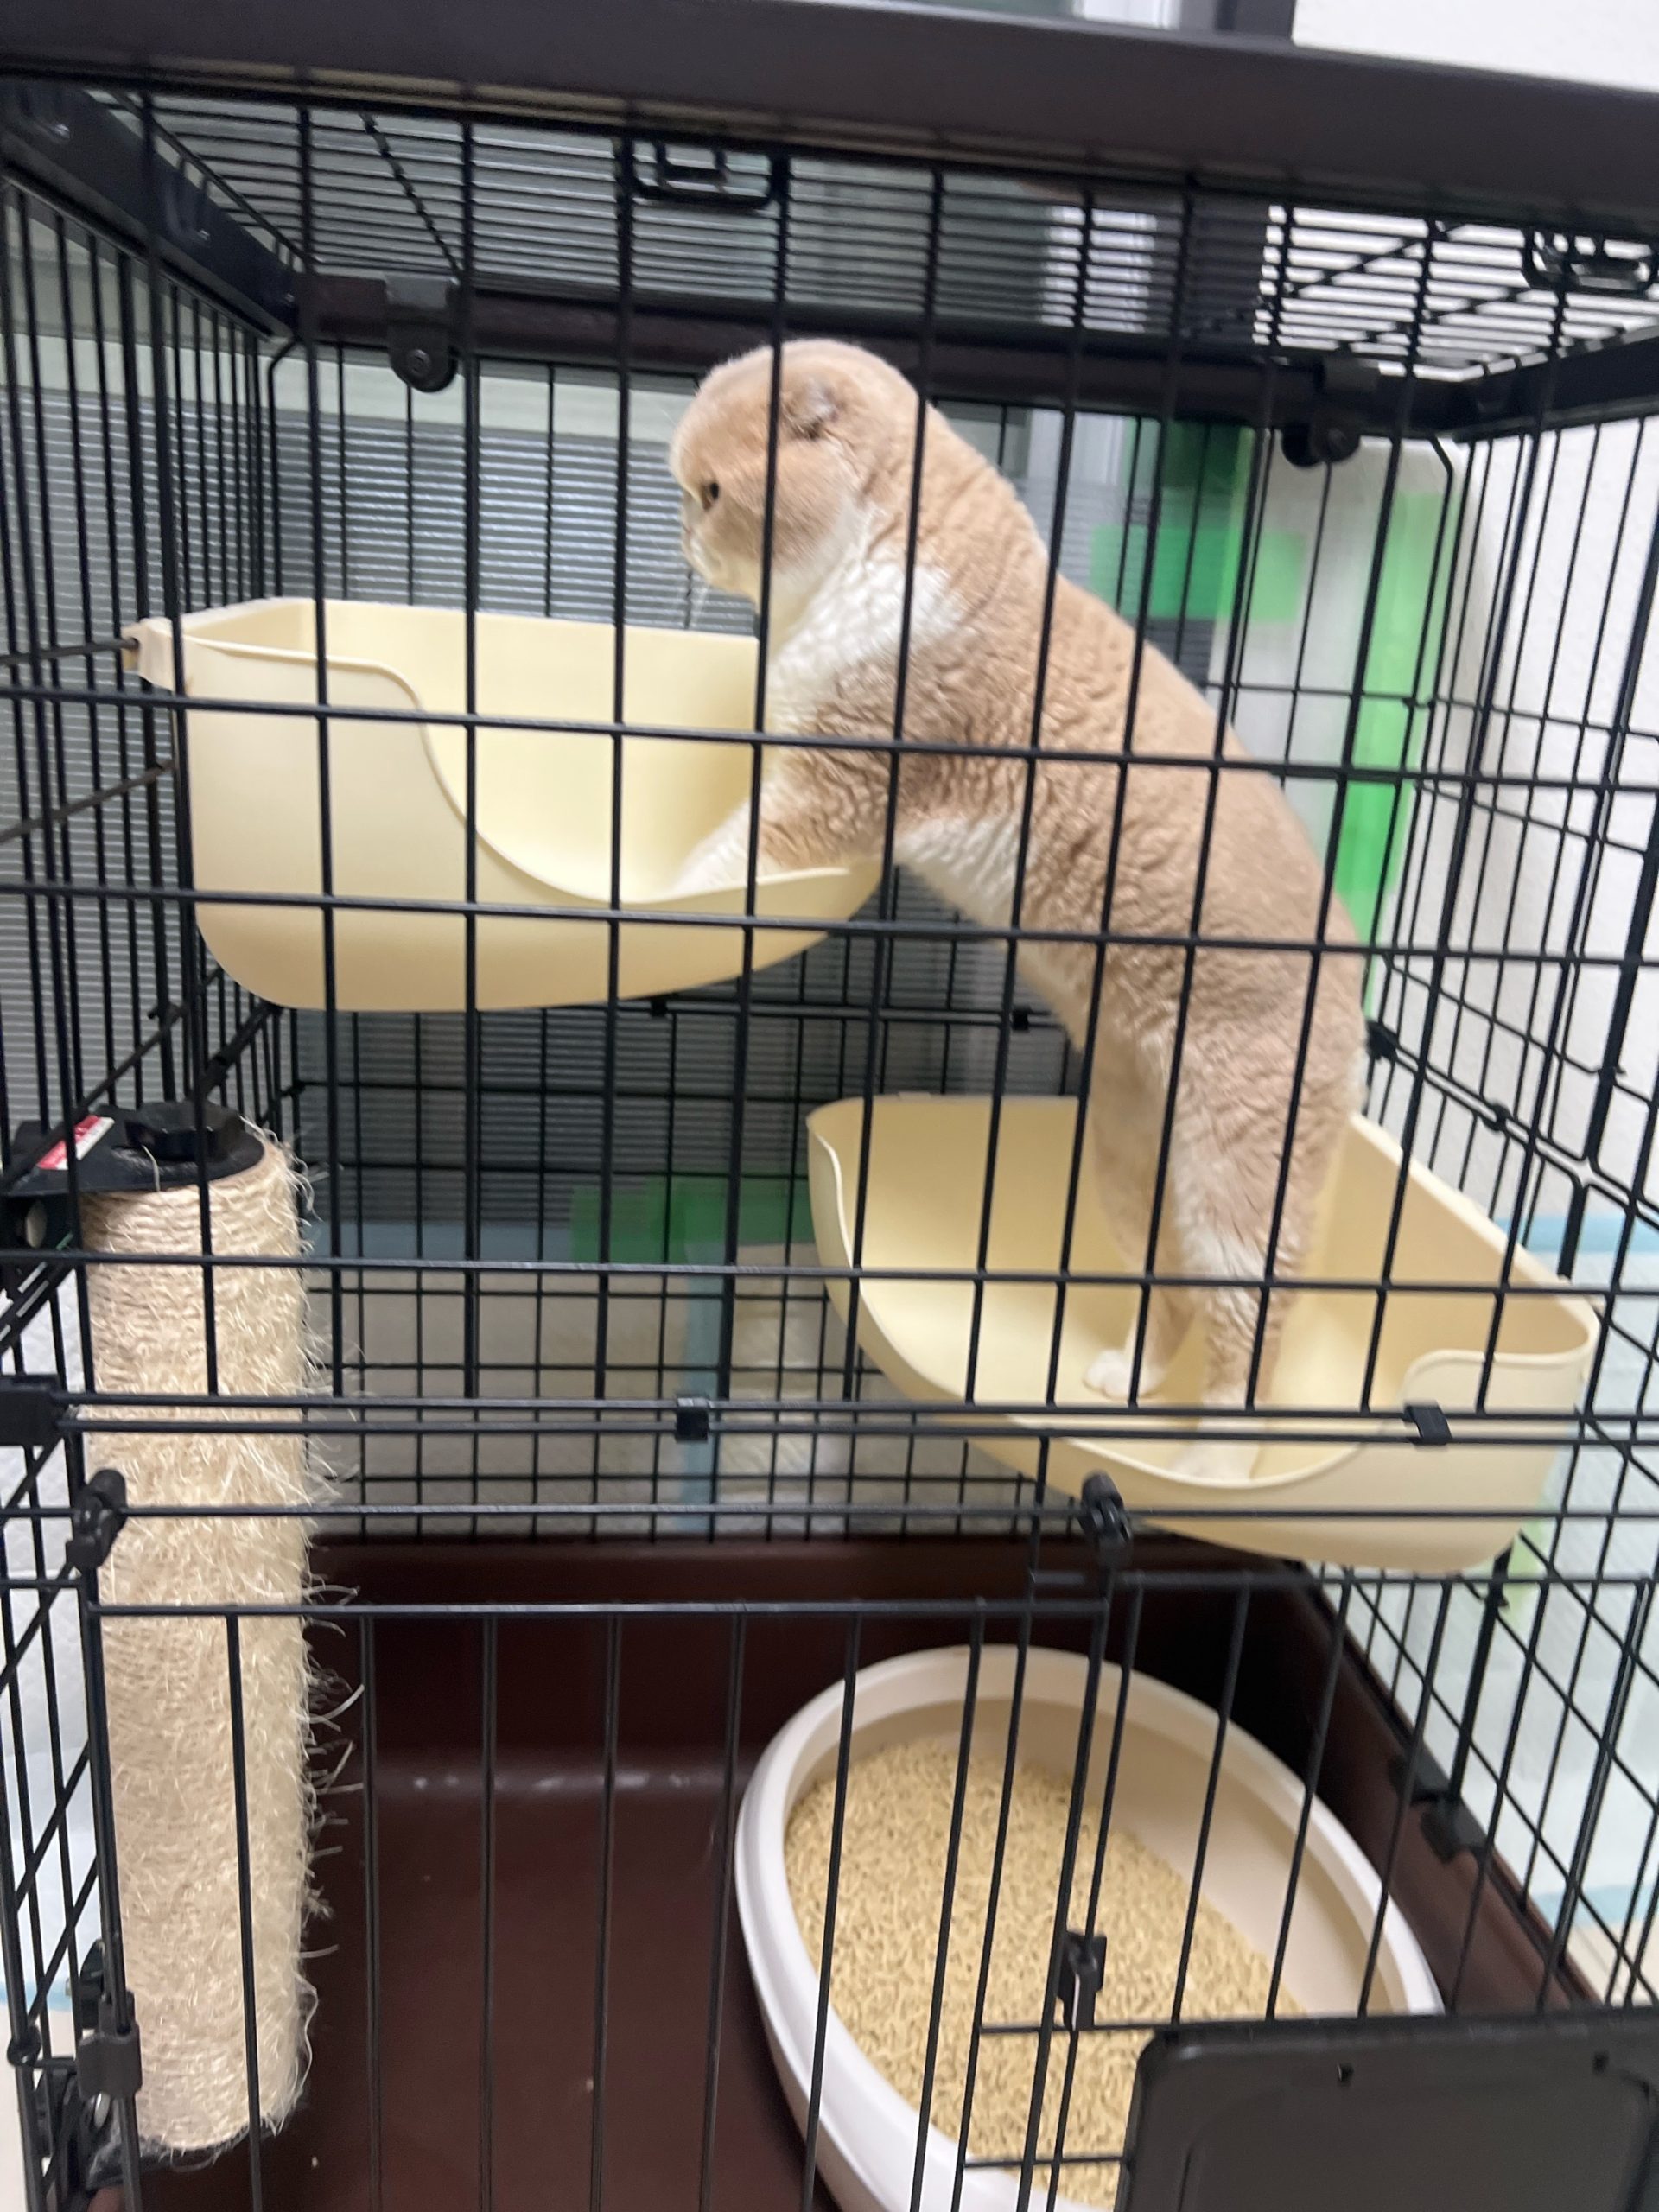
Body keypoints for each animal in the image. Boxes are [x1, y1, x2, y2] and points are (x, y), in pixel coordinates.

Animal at [668, 339, 1363, 1478]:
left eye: (714, 492)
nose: (686, 540)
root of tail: (1352, 974)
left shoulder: (837, 784)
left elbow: (722, 855)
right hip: (1129, 1158)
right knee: (1166, 1292)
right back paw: (1129, 1378)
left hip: (1236, 1181)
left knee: (1246, 1334)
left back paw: (1215, 1465)